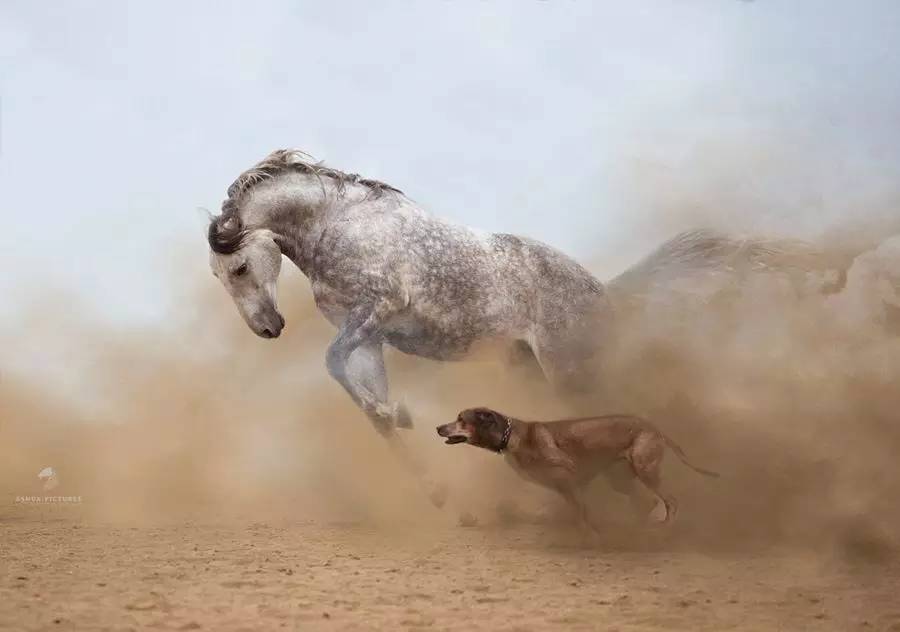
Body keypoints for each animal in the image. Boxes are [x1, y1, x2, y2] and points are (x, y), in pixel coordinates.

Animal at [436, 408, 716, 532]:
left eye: (461, 420)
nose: (439, 427)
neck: (512, 437)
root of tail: (656, 428)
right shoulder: (565, 486)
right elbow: (577, 511)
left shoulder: (569, 477)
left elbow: (581, 511)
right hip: (620, 477)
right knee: (646, 502)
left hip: (645, 469)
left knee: (671, 501)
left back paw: (663, 528)